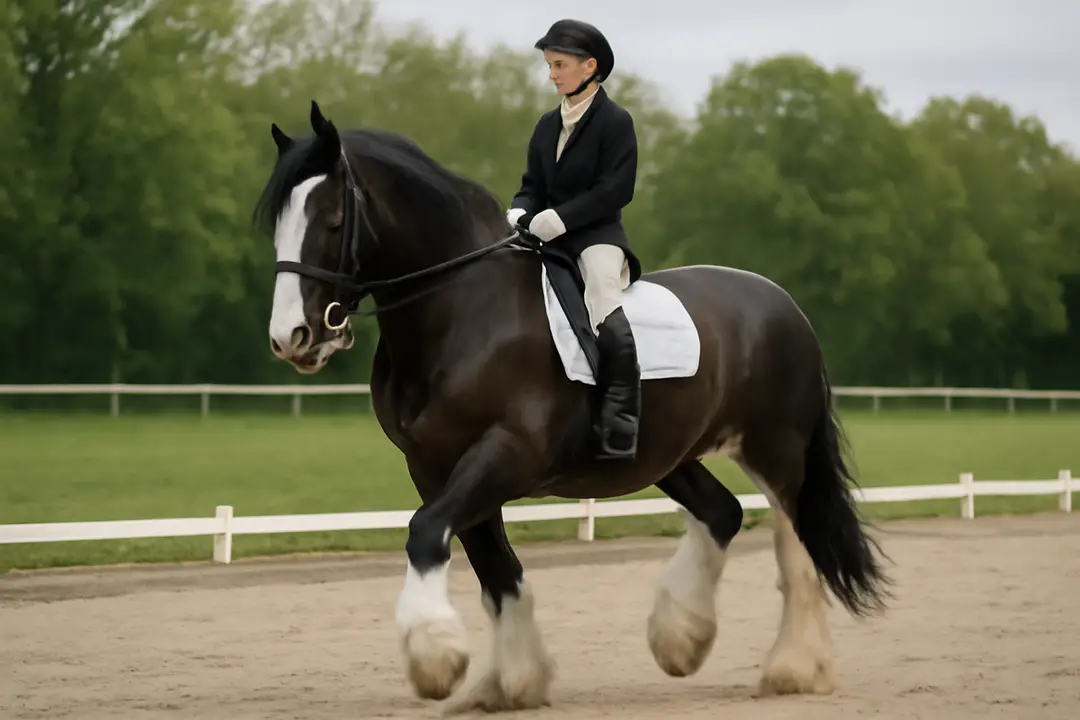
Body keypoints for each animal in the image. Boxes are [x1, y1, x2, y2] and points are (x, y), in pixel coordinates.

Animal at [255, 100, 890, 713]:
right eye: (279, 226)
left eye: (333, 221)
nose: (293, 338)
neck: (463, 311)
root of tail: (785, 305)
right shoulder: (434, 466)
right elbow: (496, 570)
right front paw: (510, 684)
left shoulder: (507, 453)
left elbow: (426, 531)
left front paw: (434, 658)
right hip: (670, 456)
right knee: (723, 514)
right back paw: (680, 639)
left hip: (776, 451)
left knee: (796, 548)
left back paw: (793, 670)